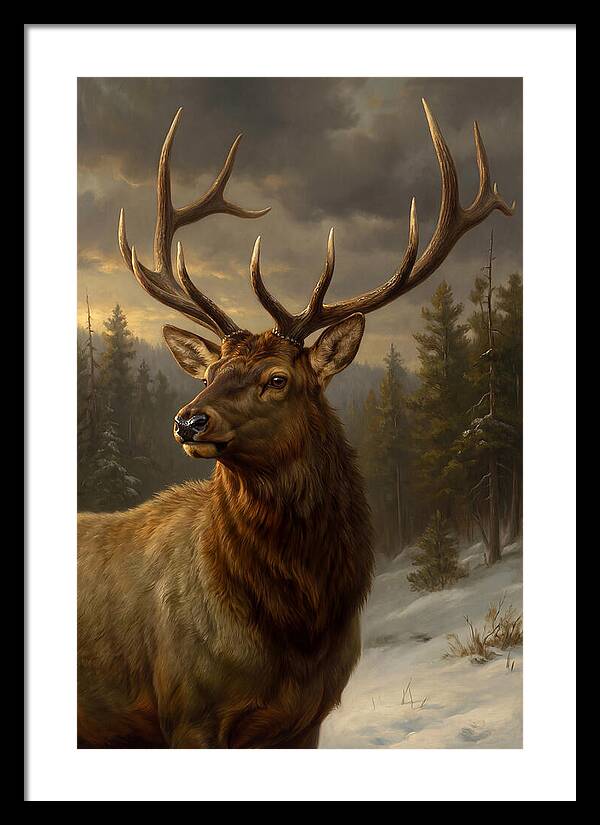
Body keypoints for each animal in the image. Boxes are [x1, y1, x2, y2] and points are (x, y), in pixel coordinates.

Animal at [77, 100, 514, 748]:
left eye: (278, 378)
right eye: (210, 372)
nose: (187, 421)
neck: (297, 629)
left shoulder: (306, 718)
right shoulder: (186, 712)